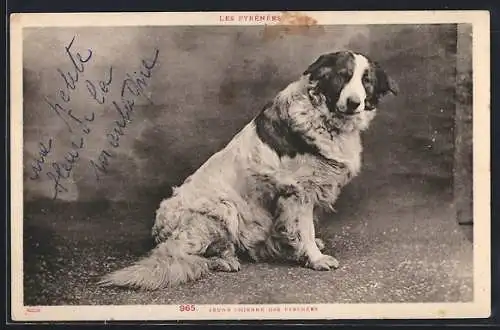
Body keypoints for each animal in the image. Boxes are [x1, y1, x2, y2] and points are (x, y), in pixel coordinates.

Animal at [98, 50, 398, 290]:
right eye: (342, 77)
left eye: (366, 81)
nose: (354, 102)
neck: (323, 116)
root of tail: (159, 231)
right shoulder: (299, 193)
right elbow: (304, 228)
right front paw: (314, 257)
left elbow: (299, 230)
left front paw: (301, 247)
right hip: (222, 209)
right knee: (185, 255)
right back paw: (223, 260)